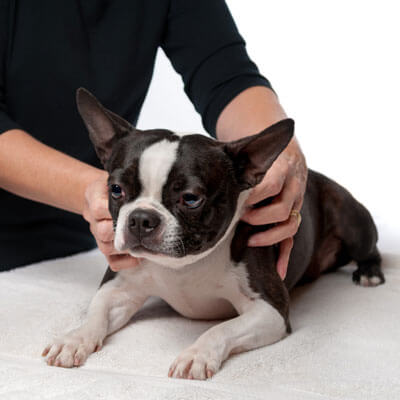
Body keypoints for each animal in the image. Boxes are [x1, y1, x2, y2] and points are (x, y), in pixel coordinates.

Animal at [41, 89, 384, 380]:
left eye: (191, 199)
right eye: (115, 189)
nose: (140, 218)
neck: (183, 266)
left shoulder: (269, 310)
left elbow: (220, 329)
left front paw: (197, 354)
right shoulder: (119, 286)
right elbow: (95, 313)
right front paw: (74, 338)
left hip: (350, 218)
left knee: (370, 247)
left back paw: (370, 273)